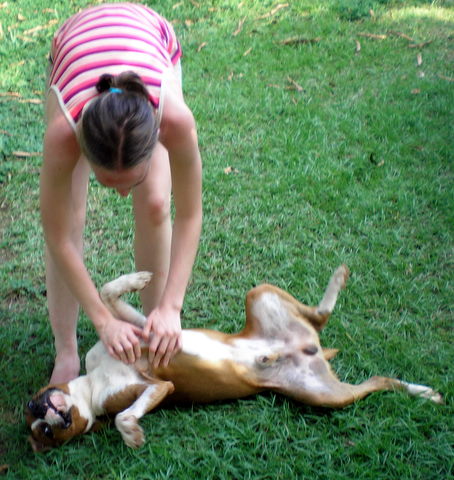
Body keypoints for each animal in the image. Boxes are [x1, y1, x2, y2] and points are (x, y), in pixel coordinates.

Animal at [26, 266, 442, 450]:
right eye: (46, 433)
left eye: (33, 407)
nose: (45, 413)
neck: (92, 383)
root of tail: (310, 348)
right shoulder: (158, 386)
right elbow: (124, 416)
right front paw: (132, 434)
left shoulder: (142, 331)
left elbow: (108, 292)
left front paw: (136, 279)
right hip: (326, 396)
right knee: (376, 380)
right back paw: (424, 392)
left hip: (260, 293)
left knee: (320, 317)